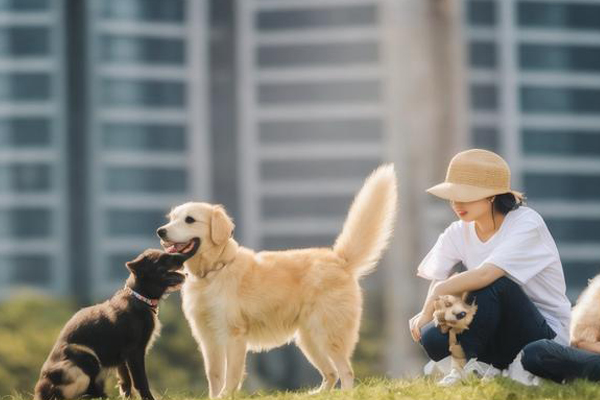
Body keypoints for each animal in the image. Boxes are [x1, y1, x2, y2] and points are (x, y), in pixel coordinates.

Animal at [34, 241, 199, 400]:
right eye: (163, 259)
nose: (184, 257)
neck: (140, 297)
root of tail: (41, 391)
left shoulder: (122, 358)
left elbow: (125, 382)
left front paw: (128, 397)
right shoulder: (135, 352)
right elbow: (140, 381)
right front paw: (148, 398)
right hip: (86, 357)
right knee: (75, 394)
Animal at [157, 164, 396, 398]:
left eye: (189, 219)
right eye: (172, 218)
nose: (160, 231)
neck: (213, 272)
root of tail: (339, 260)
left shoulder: (234, 335)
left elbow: (231, 376)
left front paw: (226, 395)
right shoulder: (207, 338)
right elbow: (214, 376)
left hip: (327, 334)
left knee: (346, 371)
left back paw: (344, 393)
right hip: (308, 339)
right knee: (331, 372)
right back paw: (317, 393)